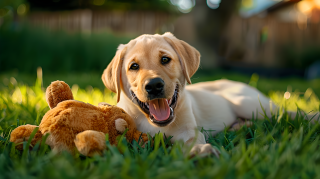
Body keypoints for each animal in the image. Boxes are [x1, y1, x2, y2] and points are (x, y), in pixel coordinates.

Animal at [102, 32, 318, 157]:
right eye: (134, 66)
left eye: (165, 59)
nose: (154, 85)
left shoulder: (189, 130)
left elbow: (192, 140)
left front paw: (199, 151)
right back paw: (240, 126)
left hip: (247, 103)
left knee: (285, 113)